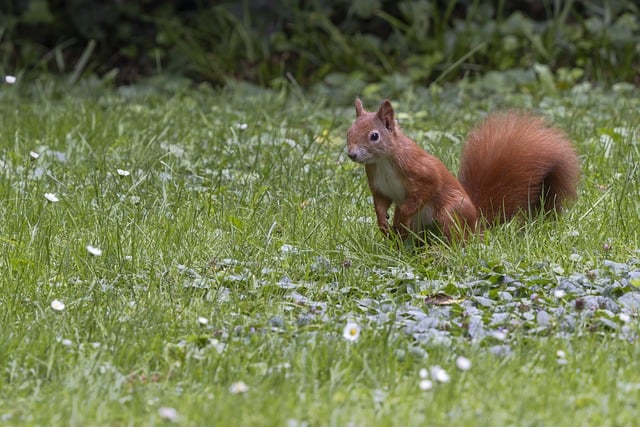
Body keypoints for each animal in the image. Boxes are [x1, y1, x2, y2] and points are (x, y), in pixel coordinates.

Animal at [344, 98, 580, 242]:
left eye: (374, 136)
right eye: (349, 132)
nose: (352, 154)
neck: (383, 161)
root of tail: (477, 222)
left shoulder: (421, 171)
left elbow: (424, 191)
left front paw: (400, 217)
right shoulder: (377, 183)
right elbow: (380, 203)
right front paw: (383, 223)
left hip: (451, 212)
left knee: (459, 241)